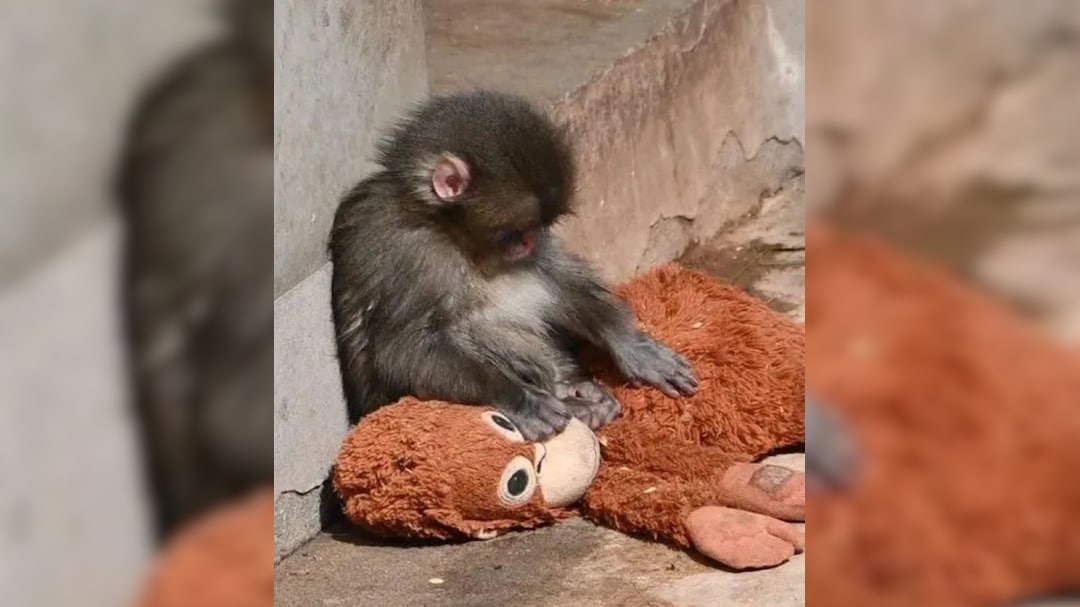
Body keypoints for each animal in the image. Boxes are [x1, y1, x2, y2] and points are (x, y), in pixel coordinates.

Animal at [330, 91, 699, 441]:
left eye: (537, 228)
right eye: (517, 232)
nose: (530, 242)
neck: (447, 229)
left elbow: (553, 274)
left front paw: (630, 343)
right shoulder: (407, 251)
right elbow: (402, 348)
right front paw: (520, 398)